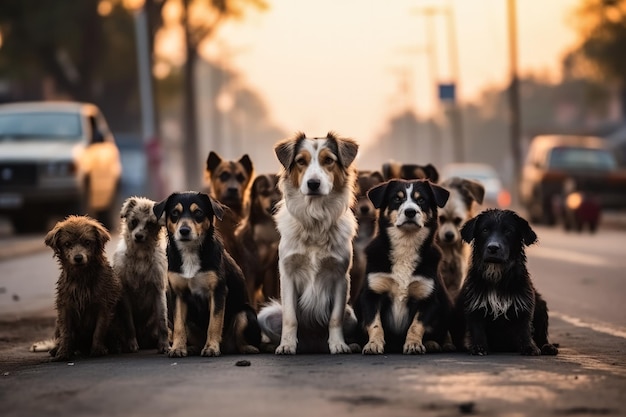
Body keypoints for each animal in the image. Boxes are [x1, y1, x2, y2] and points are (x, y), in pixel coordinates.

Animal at [113, 197, 168, 352]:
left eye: (150, 224)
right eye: (134, 221)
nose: (138, 236)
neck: (140, 255)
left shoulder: (158, 289)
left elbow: (162, 320)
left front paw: (164, 344)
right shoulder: (125, 293)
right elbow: (129, 322)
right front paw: (132, 343)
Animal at [154, 190, 260, 356]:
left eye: (198, 212)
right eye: (175, 213)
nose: (184, 231)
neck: (190, 252)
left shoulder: (218, 292)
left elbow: (214, 324)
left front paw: (211, 347)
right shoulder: (178, 294)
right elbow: (179, 326)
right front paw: (178, 348)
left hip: (244, 314)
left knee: (240, 342)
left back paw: (247, 348)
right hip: (189, 320)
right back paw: (191, 348)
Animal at [450, 208, 560, 354]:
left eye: (508, 231)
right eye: (485, 230)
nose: (493, 247)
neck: (496, 274)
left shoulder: (524, 306)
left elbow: (524, 328)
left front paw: (529, 347)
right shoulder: (474, 306)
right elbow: (477, 329)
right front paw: (479, 347)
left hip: (541, 305)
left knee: (542, 336)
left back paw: (548, 347)